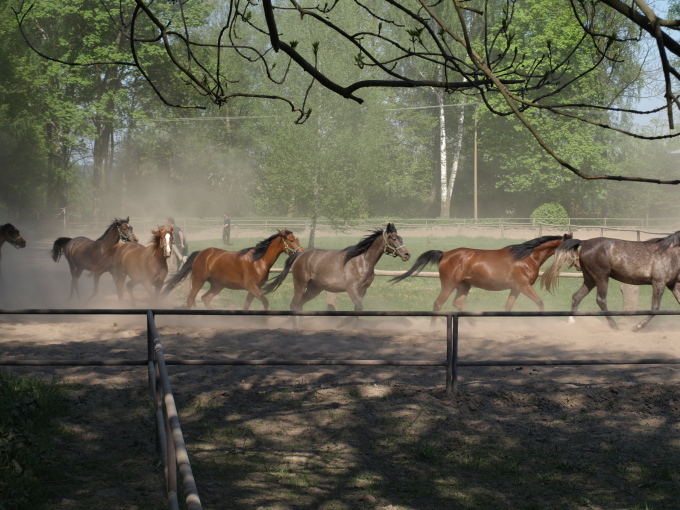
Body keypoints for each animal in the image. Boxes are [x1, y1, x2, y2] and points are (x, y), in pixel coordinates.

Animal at [162, 229, 302, 308]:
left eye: (297, 239)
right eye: (291, 240)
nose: (301, 252)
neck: (258, 261)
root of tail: (201, 253)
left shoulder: (254, 289)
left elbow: (246, 306)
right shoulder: (252, 287)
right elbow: (265, 302)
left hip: (217, 285)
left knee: (205, 298)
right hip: (198, 280)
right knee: (191, 299)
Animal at [262, 223, 412, 314]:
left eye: (401, 238)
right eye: (394, 238)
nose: (407, 254)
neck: (362, 262)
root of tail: (300, 254)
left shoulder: (362, 290)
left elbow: (357, 309)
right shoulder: (351, 289)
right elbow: (358, 307)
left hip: (314, 288)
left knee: (299, 305)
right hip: (300, 284)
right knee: (294, 305)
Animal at [390, 234, 572, 322]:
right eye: (572, 247)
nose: (574, 262)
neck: (527, 257)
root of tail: (445, 254)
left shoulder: (516, 289)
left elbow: (508, 308)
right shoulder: (524, 286)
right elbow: (540, 302)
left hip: (464, 286)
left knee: (457, 304)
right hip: (449, 285)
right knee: (438, 304)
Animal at [540, 231, 680, 330]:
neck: (671, 253)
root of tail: (585, 242)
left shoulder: (673, 284)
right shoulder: (659, 283)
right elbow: (655, 308)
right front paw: (637, 327)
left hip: (590, 279)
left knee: (577, 296)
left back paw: (572, 322)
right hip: (602, 277)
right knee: (601, 300)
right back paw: (614, 326)